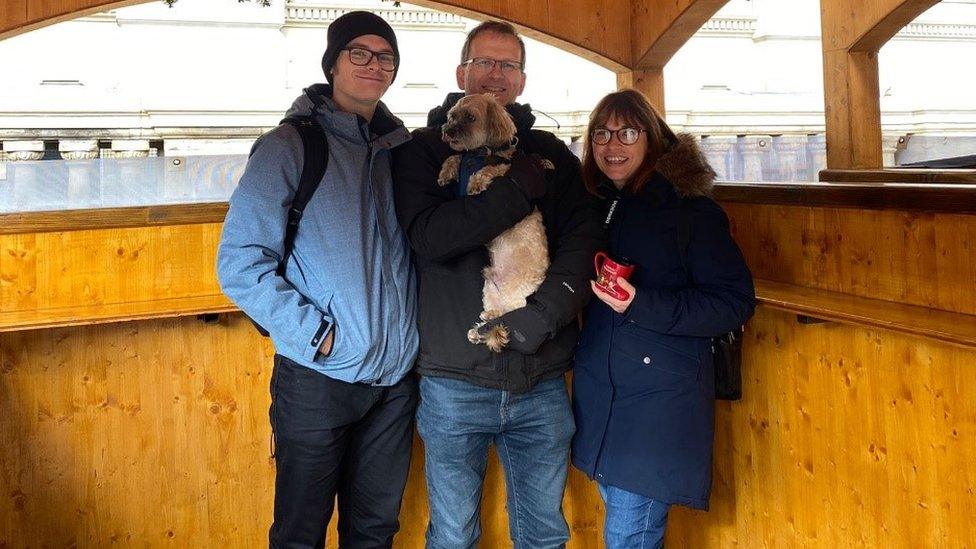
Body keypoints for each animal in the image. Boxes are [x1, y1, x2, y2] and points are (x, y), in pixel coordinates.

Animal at [438, 93, 552, 352]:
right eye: (451, 116)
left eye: (470, 117)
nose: (448, 130)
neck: (481, 152)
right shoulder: (464, 156)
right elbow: (455, 156)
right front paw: (446, 171)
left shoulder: (505, 167)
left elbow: (490, 170)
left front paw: (475, 183)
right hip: (489, 286)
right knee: (495, 314)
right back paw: (481, 327)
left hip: (515, 295)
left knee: (507, 314)